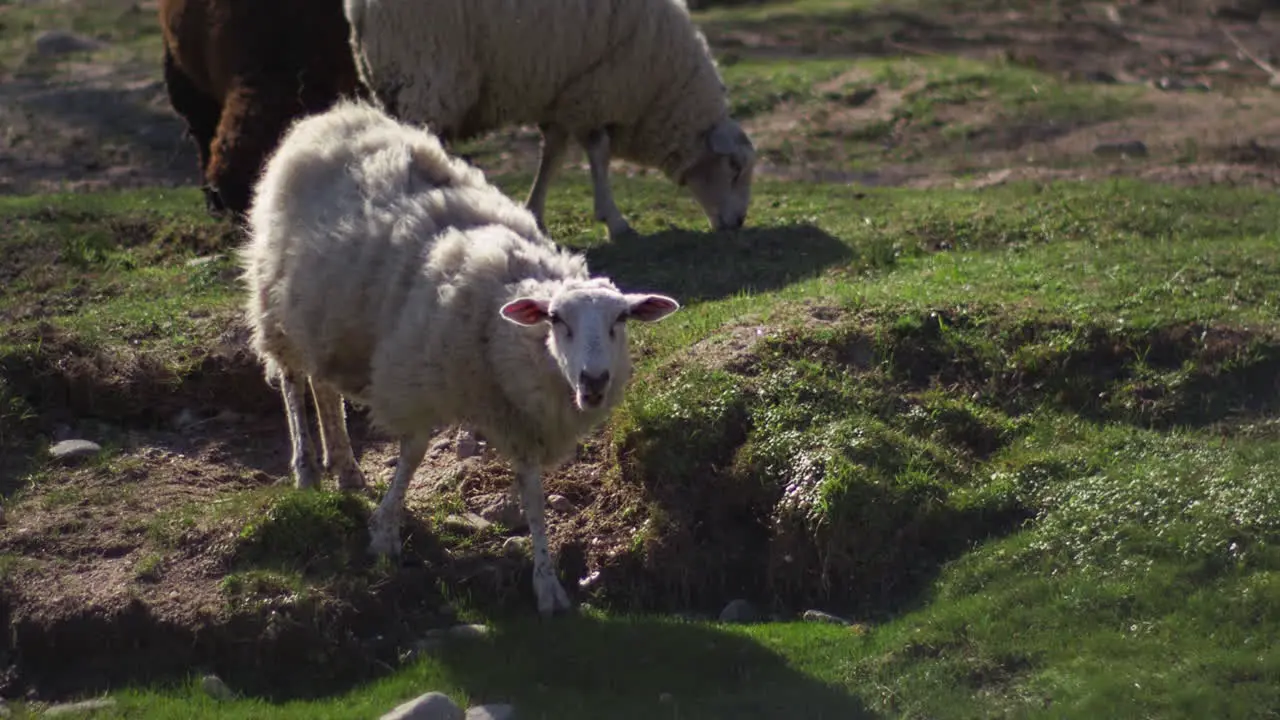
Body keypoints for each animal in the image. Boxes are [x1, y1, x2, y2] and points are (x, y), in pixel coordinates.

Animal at [240, 101, 680, 614]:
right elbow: (413, 453)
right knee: (293, 382)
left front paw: (547, 584)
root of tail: (332, 116)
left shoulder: (518, 416)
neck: (498, 318)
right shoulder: (415, 377)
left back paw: (346, 468)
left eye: (621, 320)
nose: (593, 382)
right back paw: (307, 469)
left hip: (325, 319)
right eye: (556, 320)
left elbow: (533, 495)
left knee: (324, 387)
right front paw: (385, 533)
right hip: (276, 306)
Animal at [345, 0, 752, 239]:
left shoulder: (563, 95)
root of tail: (361, 8)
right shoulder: (595, 90)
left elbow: (553, 155)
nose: (739, 223)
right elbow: (598, 153)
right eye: (734, 168)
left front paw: (535, 212)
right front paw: (615, 221)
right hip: (426, 70)